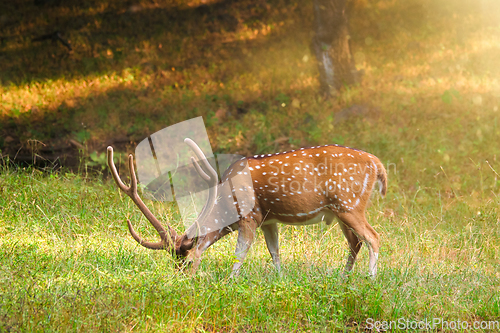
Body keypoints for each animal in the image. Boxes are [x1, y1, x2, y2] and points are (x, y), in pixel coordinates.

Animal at [107, 137, 388, 274]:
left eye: (185, 264)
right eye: (173, 264)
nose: (179, 280)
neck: (225, 204)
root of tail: (377, 163)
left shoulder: (249, 216)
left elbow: (240, 253)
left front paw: (229, 282)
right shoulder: (269, 220)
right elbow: (275, 253)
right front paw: (280, 280)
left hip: (349, 205)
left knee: (373, 237)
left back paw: (370, 280)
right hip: (340, 212)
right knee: (356, 242)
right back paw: (343, 278)